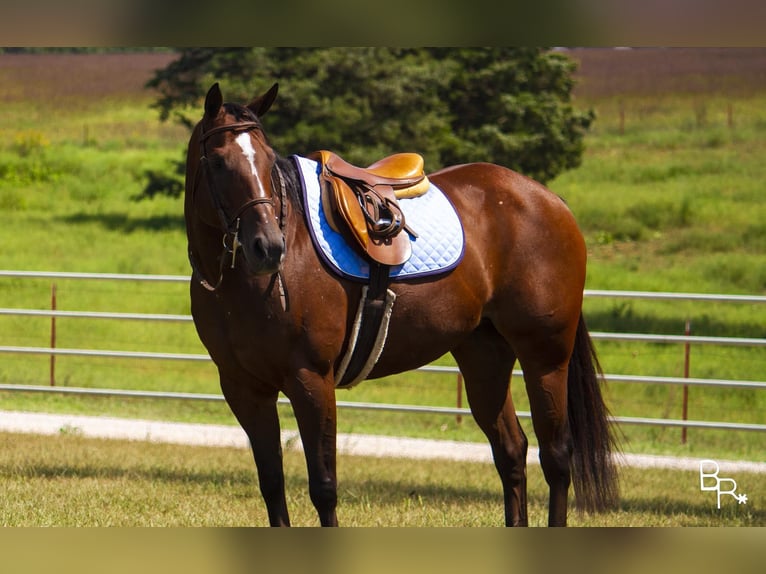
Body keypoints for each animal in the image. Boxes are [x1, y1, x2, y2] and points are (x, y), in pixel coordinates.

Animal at [183, 81, 620, 528]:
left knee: (556, 457)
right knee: (511, 451)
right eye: (218, 162)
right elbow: (272, 484)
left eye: (269, 161)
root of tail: (547, 199)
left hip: (545, 356)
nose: (269, 247)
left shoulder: (312, 381)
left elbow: (323, 487)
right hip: (484, 355)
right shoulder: (244, 389)